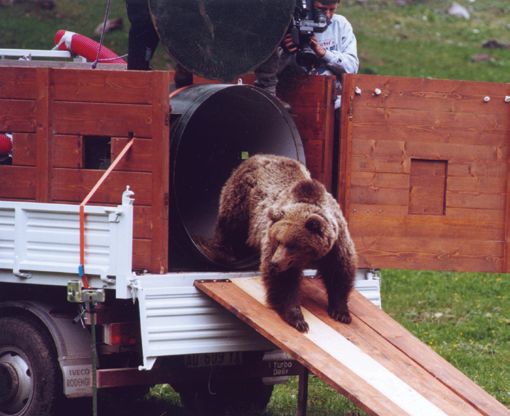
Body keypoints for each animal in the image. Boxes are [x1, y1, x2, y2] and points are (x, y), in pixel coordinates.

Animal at [212, 154, 357, 332]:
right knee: (231, 222)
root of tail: (257, 156)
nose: (275, 263)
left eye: (293, 245)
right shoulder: (274, 245)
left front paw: (341, 312)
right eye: (279, 240)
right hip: (243, 195)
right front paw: (298, 319)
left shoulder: (336, 244)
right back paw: (224, 250)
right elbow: (284, 282)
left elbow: (340, 272)